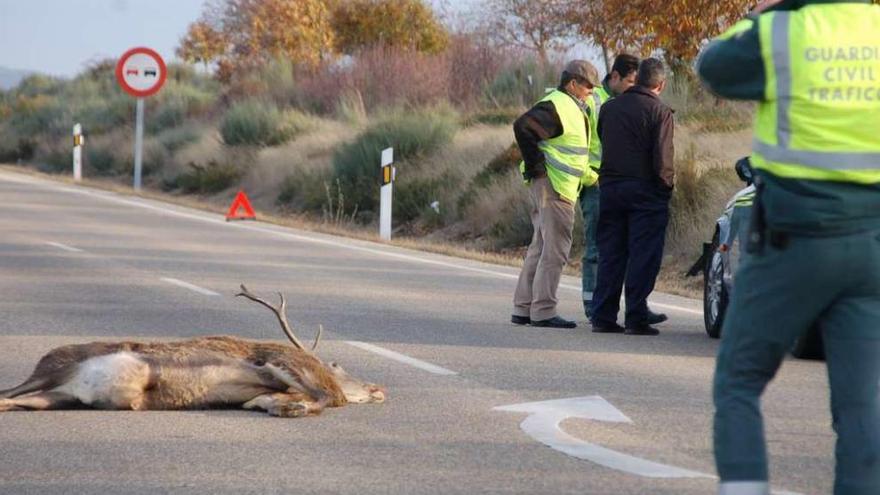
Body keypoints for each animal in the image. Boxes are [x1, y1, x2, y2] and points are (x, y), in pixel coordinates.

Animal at [0, 286, 384, 418]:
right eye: (337, 363)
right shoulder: (279, 359)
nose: (379, 389)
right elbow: (331, 397)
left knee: (10, 400)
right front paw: (295, 407)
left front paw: (284, 406)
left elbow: (268, 400)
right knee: (7, 390)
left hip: (57, 396)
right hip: (54, 367)